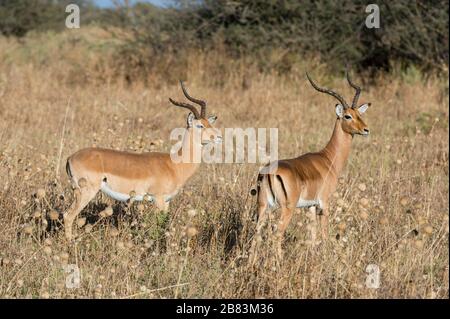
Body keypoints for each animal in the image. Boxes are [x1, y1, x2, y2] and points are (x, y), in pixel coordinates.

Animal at [62, 81, 221, 241]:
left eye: (209, 123)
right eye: (200, 125)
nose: (219, 137)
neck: (174, 165)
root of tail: (70, 158)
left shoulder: (167, 201)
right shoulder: (158, 199)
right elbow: (159, 225)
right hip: (86, 192)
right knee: (68, 216)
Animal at [250, 69, 370, 260]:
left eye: (360, 114)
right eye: (347, 116)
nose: (366, 129)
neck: (328, 158)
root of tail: (268, 173)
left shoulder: (311, 207)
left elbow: (312, 237)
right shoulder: (324, 203)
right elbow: (324, 234)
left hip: (262, 207)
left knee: (256, 234)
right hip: (287, 209)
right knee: (277, 234)